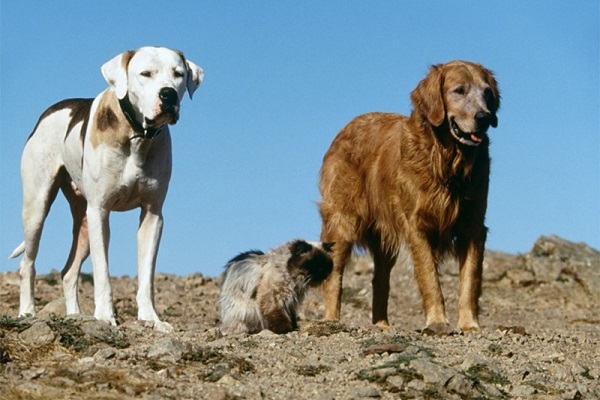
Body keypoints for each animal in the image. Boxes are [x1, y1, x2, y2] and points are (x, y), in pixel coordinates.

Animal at [8, 47, 204, 332]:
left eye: (178, 74)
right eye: (146, 73)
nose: (167, 94)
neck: (137, 135)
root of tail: (49, 111)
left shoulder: (152, 215)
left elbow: (147, 275)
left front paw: (151, 318)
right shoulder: (100, 211)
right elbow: (102, 271)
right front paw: (104, 316)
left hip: (84, 222)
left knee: (68, 272)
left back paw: (74, 315)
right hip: (37, 207)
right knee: (27, 263)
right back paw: (27, 312)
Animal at [322, 60, 500, 334]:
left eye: (487, 93)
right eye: (459, 91)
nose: (484, 117)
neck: (447, 160)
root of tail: (345, 128)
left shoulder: (473, 226)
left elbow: (470, 280)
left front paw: (470, 324)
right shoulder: (417, 225)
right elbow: (430, 278)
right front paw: (437, 321)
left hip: (384, 238)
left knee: (380, 281)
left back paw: (382, 325)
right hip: (343, 222)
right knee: (335, 274)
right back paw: (331, 320)